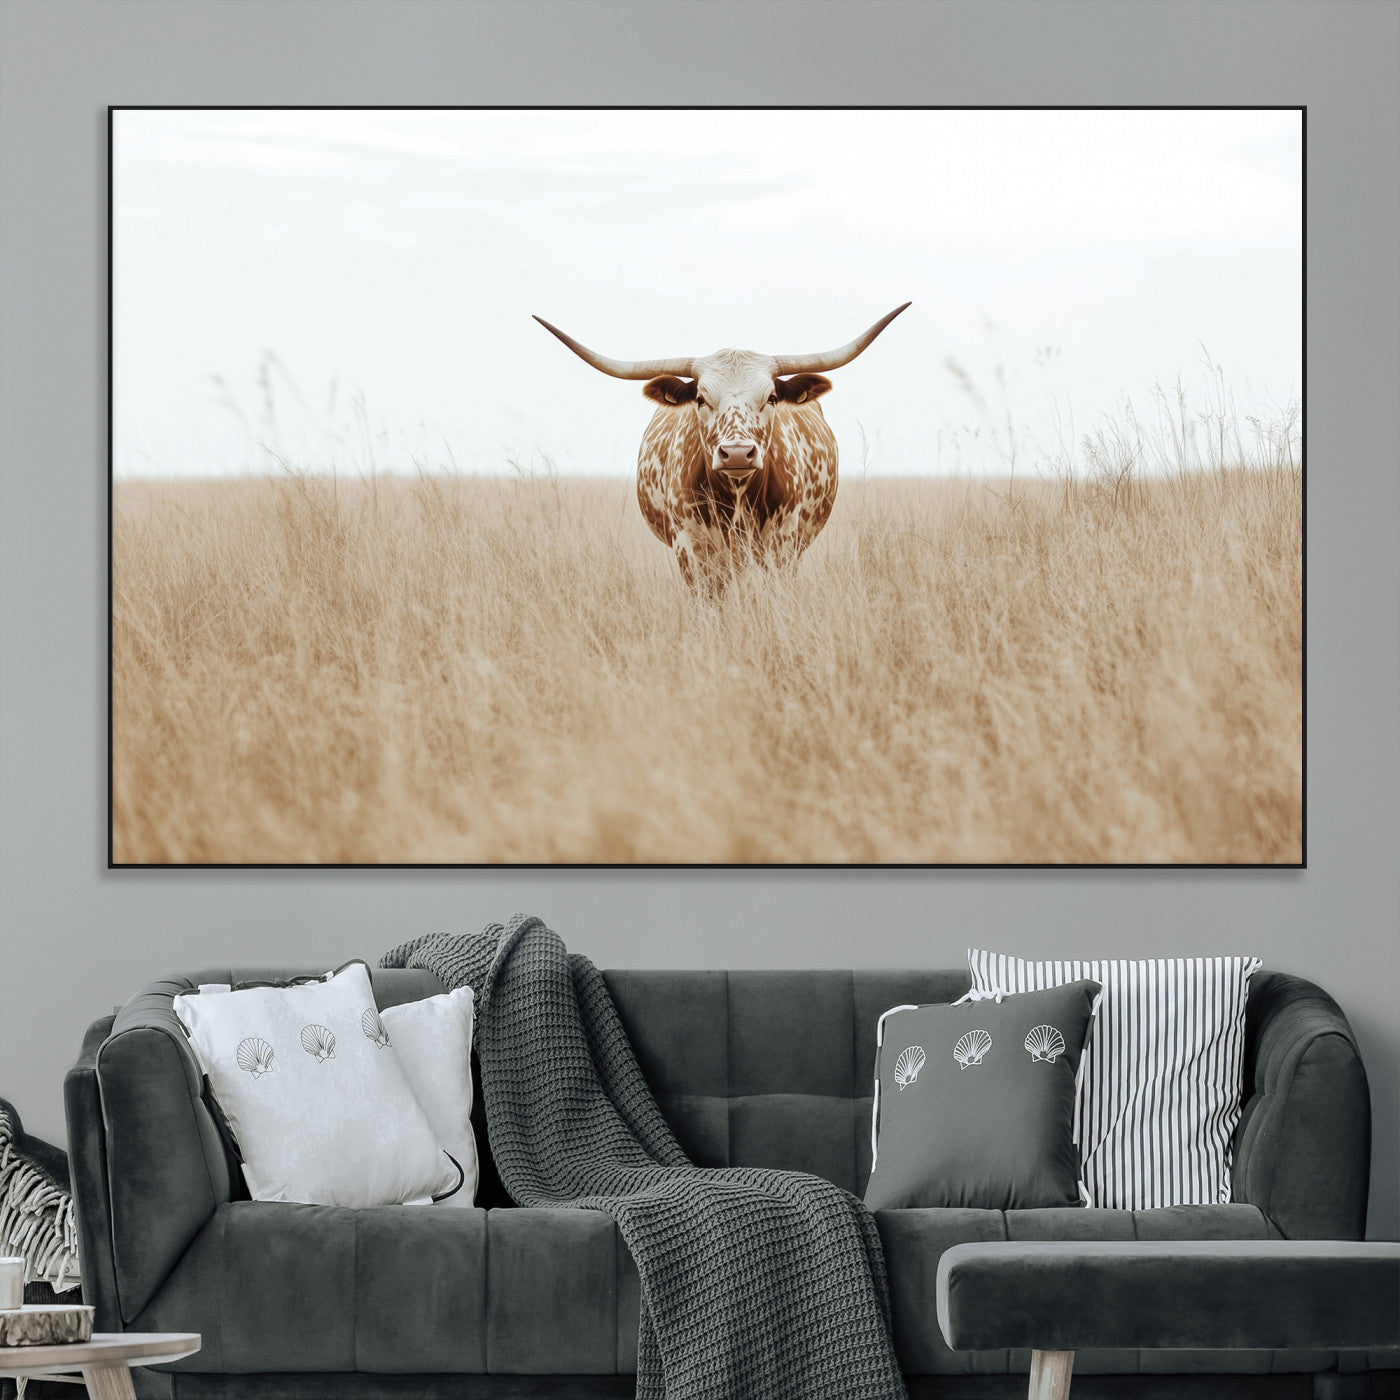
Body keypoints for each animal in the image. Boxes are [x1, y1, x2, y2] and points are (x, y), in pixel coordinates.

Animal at [533, 304, 910, 589]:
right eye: (701, 398)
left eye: (771, 397)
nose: (738, 453)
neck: (737, 498)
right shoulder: (691, 550)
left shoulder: (782, 546)